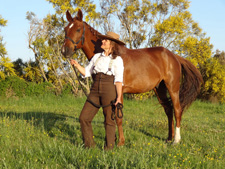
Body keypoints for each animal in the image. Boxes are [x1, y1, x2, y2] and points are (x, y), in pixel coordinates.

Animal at [60, 9, 203, 145]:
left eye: (78, 29)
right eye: (66, 29)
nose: (64, 51)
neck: (110, 54)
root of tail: (174, 56)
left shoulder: (118, 92)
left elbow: (118, 118)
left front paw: (120, 142)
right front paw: (114, 139)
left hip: (172, 87)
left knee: (177, 110)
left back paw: (176, 140)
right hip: (159, 88)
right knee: (168, 109)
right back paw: (168, 138)